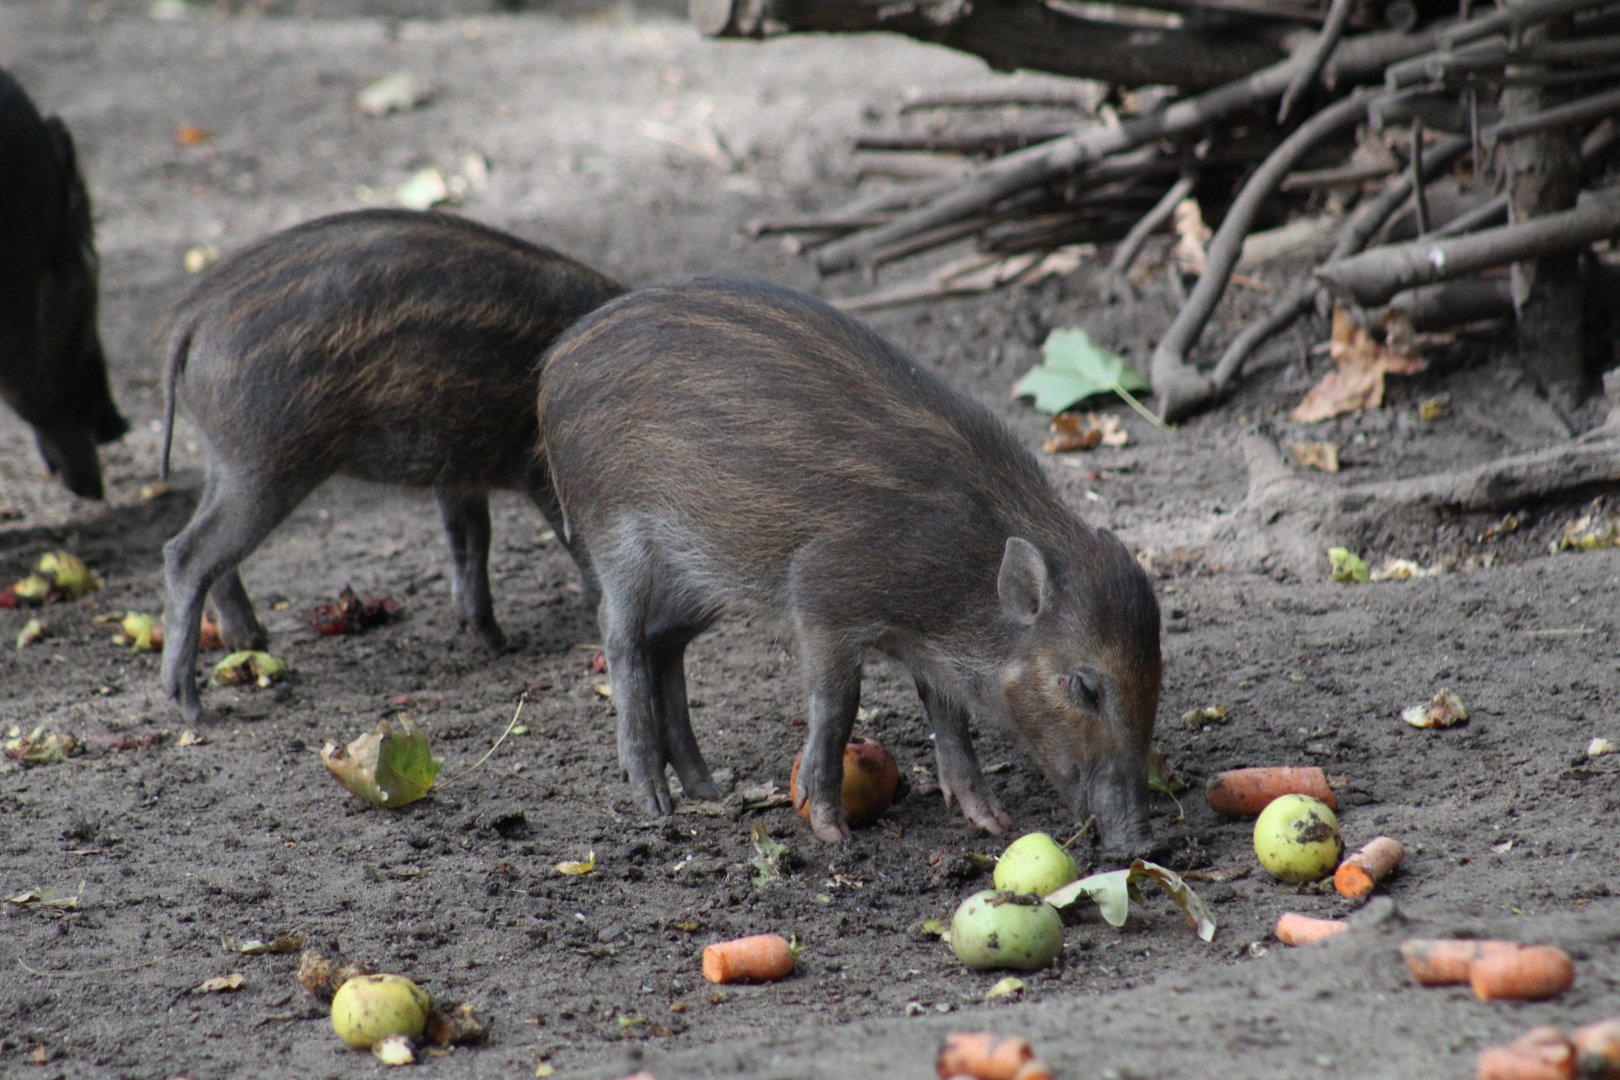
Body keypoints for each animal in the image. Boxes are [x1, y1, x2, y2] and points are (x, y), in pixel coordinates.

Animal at [159, 208, 623, 723]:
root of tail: (193, 321)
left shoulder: (459, 473)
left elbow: (469, 541)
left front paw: (492, 639)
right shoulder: (536, 472)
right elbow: (566, 543)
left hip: (228, 463)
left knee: (213, 555)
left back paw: (252, 644)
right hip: (265, 468)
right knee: (188, 553)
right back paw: (192, 706)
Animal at [539, 277, 1163, 857]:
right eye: (1084, 686)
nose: (1142, 845)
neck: (970, 575)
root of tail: (553, 365)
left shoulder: (929, 647)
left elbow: (949, 716)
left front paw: (990, 821)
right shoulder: (821, 596)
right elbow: (839, 707)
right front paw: (828, 828)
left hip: (706, 575)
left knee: (664, 640)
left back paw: (706, 789)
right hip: (616, 534)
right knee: (620, 635)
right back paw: (652, 797)